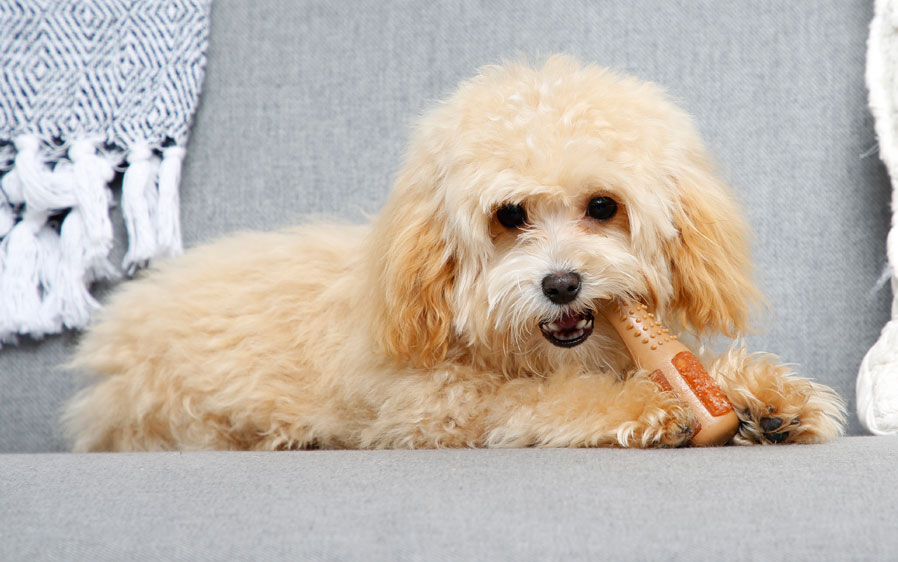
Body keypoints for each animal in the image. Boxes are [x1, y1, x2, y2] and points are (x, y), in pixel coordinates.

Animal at [65, 55, 848, 450]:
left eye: (603, 207)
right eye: (510, 215)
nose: (561, 284)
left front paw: (765, 397)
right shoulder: (436, 405)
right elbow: (542, 402)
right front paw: (642, 404)